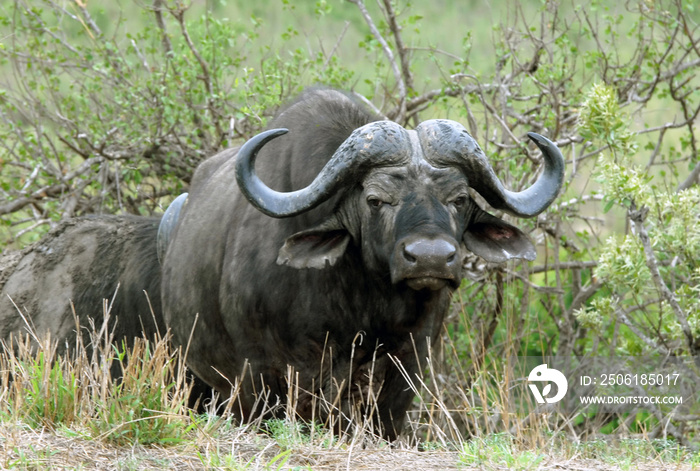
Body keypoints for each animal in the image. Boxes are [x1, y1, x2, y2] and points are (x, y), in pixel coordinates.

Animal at [159, 87, 564, 438]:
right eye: (375, 200)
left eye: (460, 198)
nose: (430, 258)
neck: (365, 299)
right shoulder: (263, 368)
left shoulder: (412, 357)